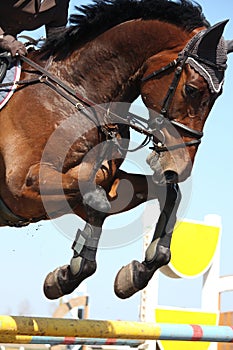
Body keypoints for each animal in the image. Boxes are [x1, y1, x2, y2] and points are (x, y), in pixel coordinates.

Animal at [0, 0, 232, 300]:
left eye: (217, 96)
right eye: (192, 89)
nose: (180, 166)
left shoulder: (100, 188)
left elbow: (166, 192)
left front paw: (134, 275)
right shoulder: (21, 187)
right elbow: (96, 194)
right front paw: (67, 275)